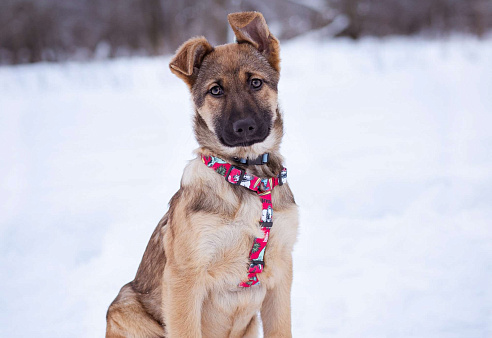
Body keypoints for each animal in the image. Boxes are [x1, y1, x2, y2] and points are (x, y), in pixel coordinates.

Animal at [106, 11, 298, 338]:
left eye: (256, 82)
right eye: (215, 90)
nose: (244, 127)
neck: (247, 177)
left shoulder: (281, 272)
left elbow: (281, 329)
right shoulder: (185, 276)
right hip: (125, 306)